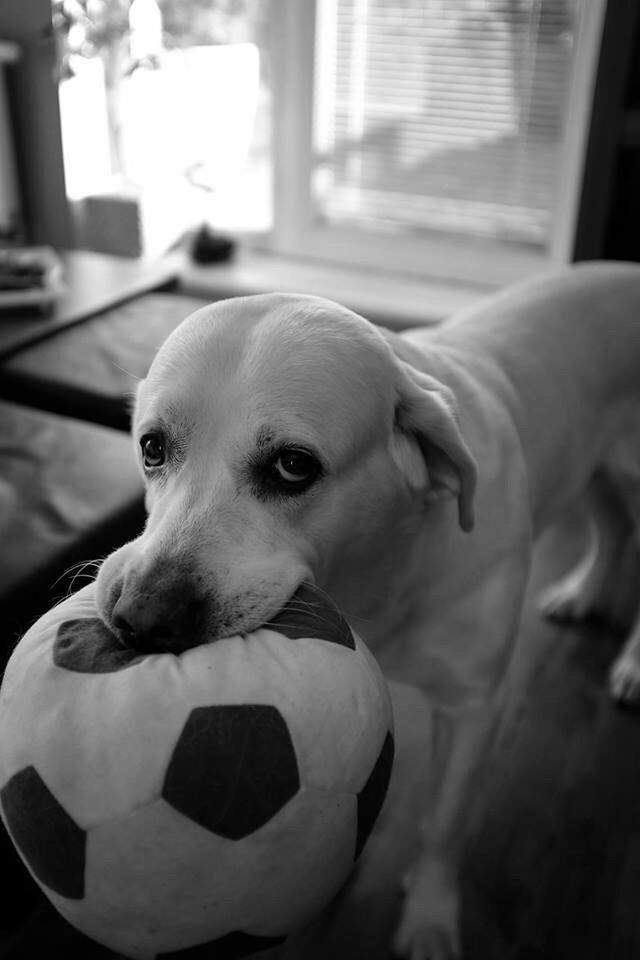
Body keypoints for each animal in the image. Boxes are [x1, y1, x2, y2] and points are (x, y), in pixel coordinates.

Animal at [95, 258, 640, 956]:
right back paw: (585, 591)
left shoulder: (473, 709)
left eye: (293, 466)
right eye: (152, 449)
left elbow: (443, 826)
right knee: (614, 529)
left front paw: (429, 919)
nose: (141, 618)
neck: (382, 564)